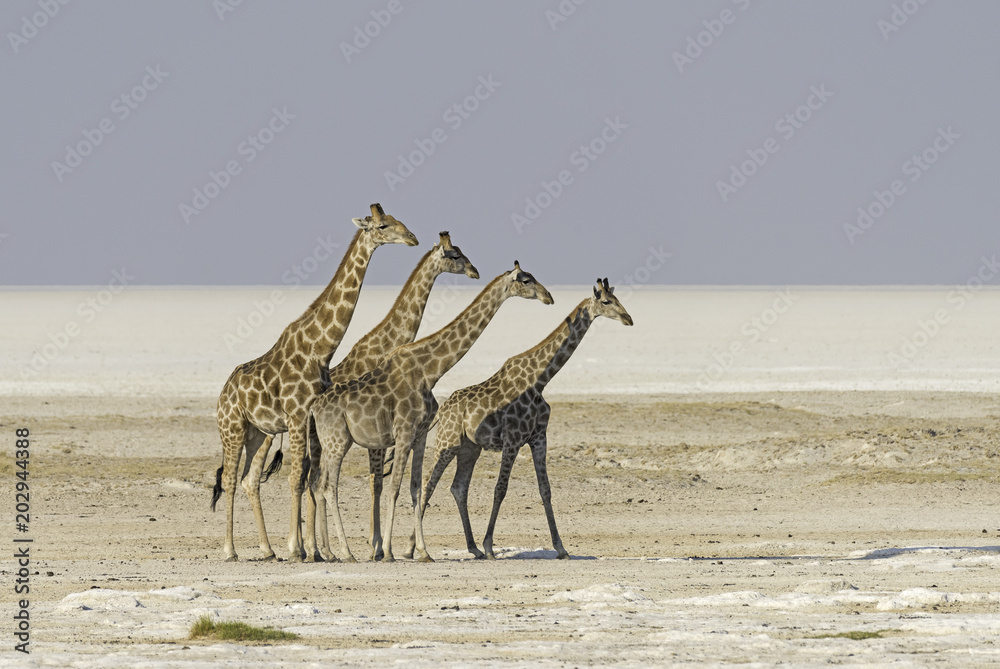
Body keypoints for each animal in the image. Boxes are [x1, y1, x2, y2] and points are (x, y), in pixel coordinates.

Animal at [211, 203, 418, 562]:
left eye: (398, 221)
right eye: (382, 226)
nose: (412, 238)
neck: (319, 348)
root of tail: (223, 393)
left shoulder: (309, 420)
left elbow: (310, 476)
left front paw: (315, 550)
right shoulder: (296, 416)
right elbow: (297, 479)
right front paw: (298, 549)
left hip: (257, 433)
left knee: (250, 480)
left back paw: (268, 550)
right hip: (232, 429)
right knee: (230, 480)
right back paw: (231, 550)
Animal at [307, 262, 554, 563]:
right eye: (526, 280)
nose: (548, 297)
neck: (429, 371)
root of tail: (313, 408)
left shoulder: (421, 434)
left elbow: (415, 488)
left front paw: (423, 552)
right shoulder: (403, 432)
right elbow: (394, 487)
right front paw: (388, 552)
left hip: (327, 443)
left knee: (318, 485)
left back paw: (328, 552)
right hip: (338, 442)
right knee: (329, 487)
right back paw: (346, 552)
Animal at [416, 278, 632, 560]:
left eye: (617, 299)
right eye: (606, 301)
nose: (628, 318)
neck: (540, 380)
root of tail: (442, 410)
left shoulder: (539, 438)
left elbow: (546, 490)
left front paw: (561, 548)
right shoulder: (512, 440)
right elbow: (500, 489)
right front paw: (490, 546)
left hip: (469, 448)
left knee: (458, 487)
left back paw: (472, 548)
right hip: (447, 442)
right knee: (426, 485)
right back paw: (418, 549)